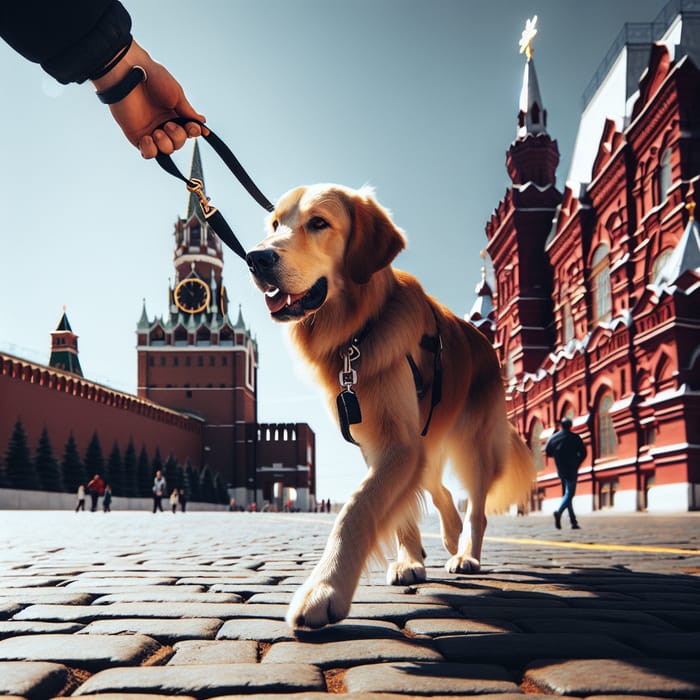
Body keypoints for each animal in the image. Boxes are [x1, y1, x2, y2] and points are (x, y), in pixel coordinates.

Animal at [247, 185, 536, 628]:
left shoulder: (398, 444)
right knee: (440, 490)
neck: (356, 332)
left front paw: (324, 589)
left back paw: (467, 554)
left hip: (475, 443)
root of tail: (486, 341)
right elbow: (394, 508)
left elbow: (356, 509)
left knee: (476, 508)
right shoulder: (381, 443)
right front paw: (409, 561)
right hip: (427, 441)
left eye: (318, 223)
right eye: (276, 224)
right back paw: (449, 536)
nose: (256, 258)